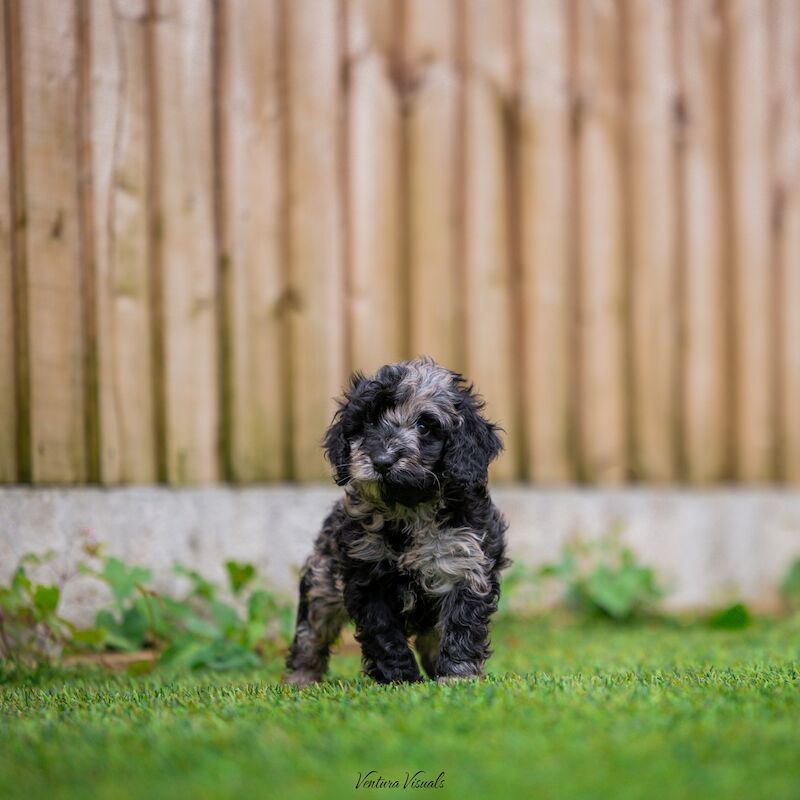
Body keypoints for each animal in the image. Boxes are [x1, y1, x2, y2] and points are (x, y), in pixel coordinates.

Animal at [284, 358, 510, 688]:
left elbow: (460, 627)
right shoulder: (367, 577)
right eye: (367, 423)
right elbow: (384, 634)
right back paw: (301, 680)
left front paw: (458, 676)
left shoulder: (465, 565)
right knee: (310, 634)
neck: (409, 509)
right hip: (321, 584)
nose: (381, 460)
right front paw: (400, 679)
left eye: (425, 426)